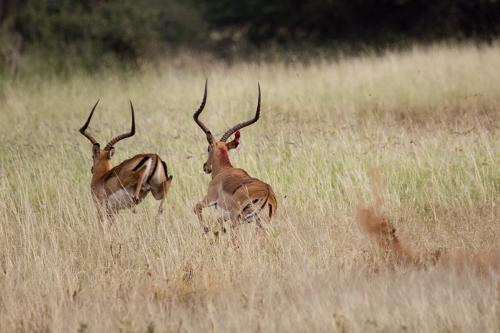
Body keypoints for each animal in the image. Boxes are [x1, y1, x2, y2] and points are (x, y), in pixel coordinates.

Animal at [192, 80, 278, 235]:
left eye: (208, 148)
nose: (205, 166)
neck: (224, 170)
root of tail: (267, 193)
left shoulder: (210, 199)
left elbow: (197, 207)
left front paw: (205, 229)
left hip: (236, 220)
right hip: (260, 225)